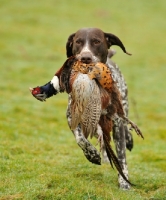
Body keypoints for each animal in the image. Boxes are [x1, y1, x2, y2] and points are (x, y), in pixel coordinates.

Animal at [29, 27, 134, 189]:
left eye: (96, 41)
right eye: (78, 42)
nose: (85, 57)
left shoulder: (117, 123)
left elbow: (121, 156)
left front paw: (124, 183)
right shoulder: (72, 117)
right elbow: (80, 139)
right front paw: (92, 155)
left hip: (123, 106)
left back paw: (128, 140)